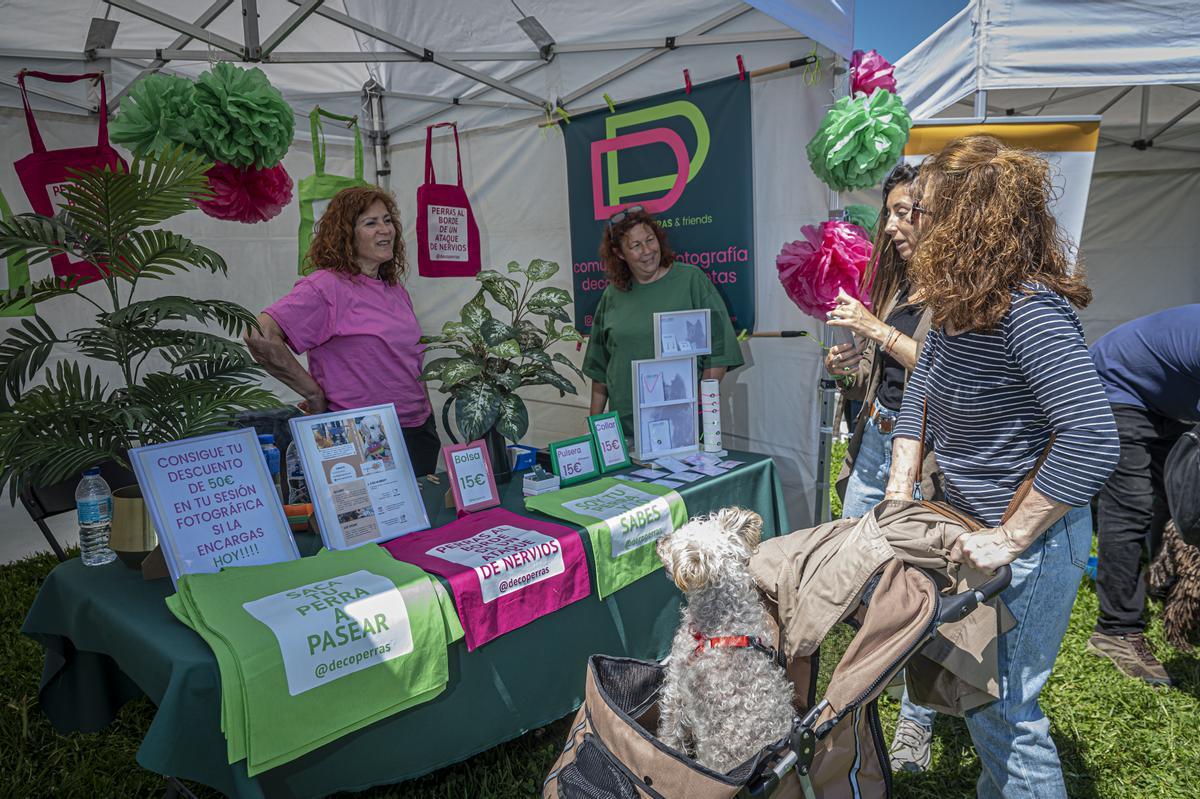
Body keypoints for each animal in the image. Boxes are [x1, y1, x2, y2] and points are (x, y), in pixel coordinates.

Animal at [657, 503, 796, 772]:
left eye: (674, 543)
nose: (659, 540)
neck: (724, 623)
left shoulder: (676, 684)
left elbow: (671, 729)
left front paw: (664, 747)